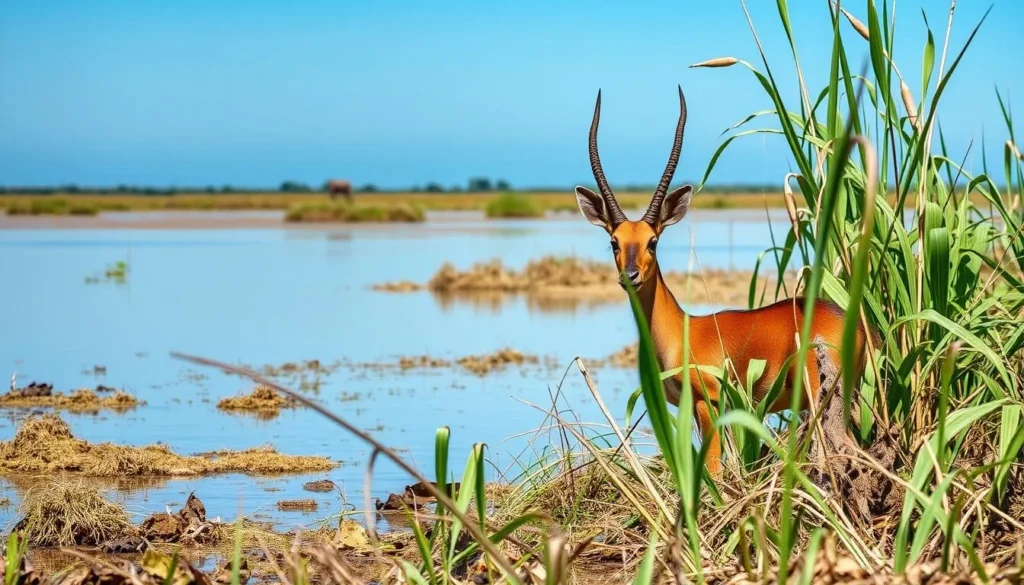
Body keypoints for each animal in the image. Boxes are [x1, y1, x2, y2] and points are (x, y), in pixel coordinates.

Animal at [574, 86, 877, 476]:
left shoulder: (710, 404)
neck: (681, 331)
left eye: (652, 241)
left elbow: (714, 470)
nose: (630, 276)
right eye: (614, 241)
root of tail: (854, 323)